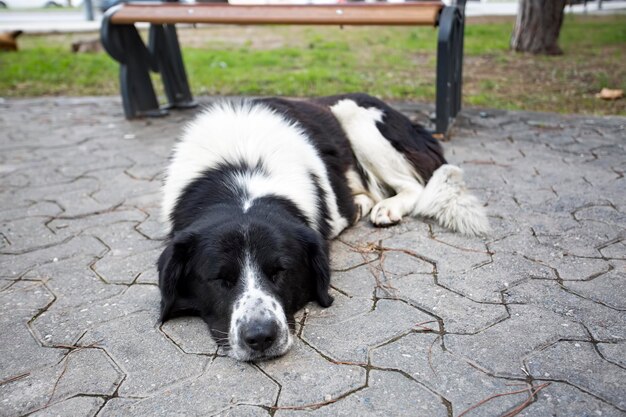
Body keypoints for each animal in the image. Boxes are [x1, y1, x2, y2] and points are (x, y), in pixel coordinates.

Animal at [157, 92, 488, 360]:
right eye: (219, 279)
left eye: (281, 271)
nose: (261, 337)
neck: (242, 171)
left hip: (358, 119)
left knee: (414, 186)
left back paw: (387, 207)